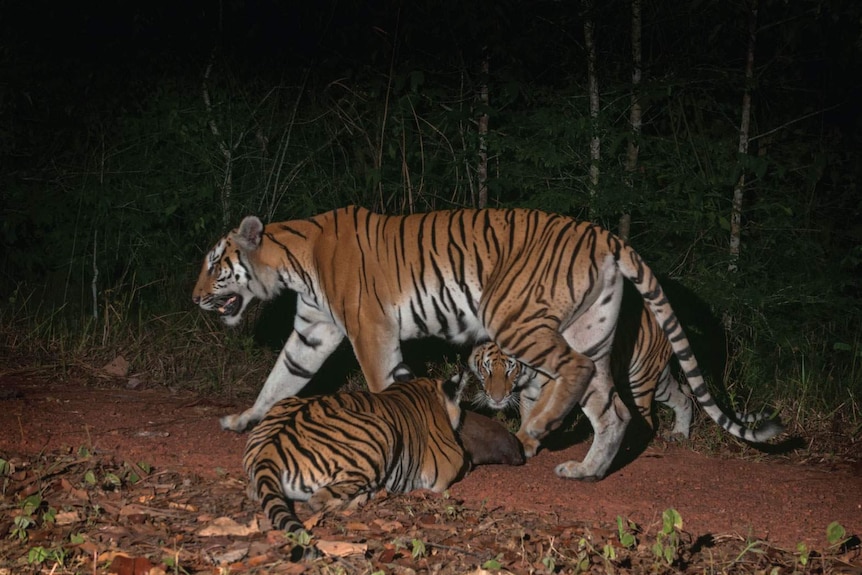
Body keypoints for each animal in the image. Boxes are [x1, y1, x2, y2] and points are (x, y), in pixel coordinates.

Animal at [194, 207, 784, 482]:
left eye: (215, 264)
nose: (195, 297)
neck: (291, 263)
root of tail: (605, 234)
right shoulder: (314, 331)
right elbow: (280, 379)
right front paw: (242, 420)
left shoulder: (369, 330)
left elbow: (383, 385)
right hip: (591, 330)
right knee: (612, 408)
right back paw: (586, 470)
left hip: (516, 316)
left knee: (574, 374)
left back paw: (535, 428)